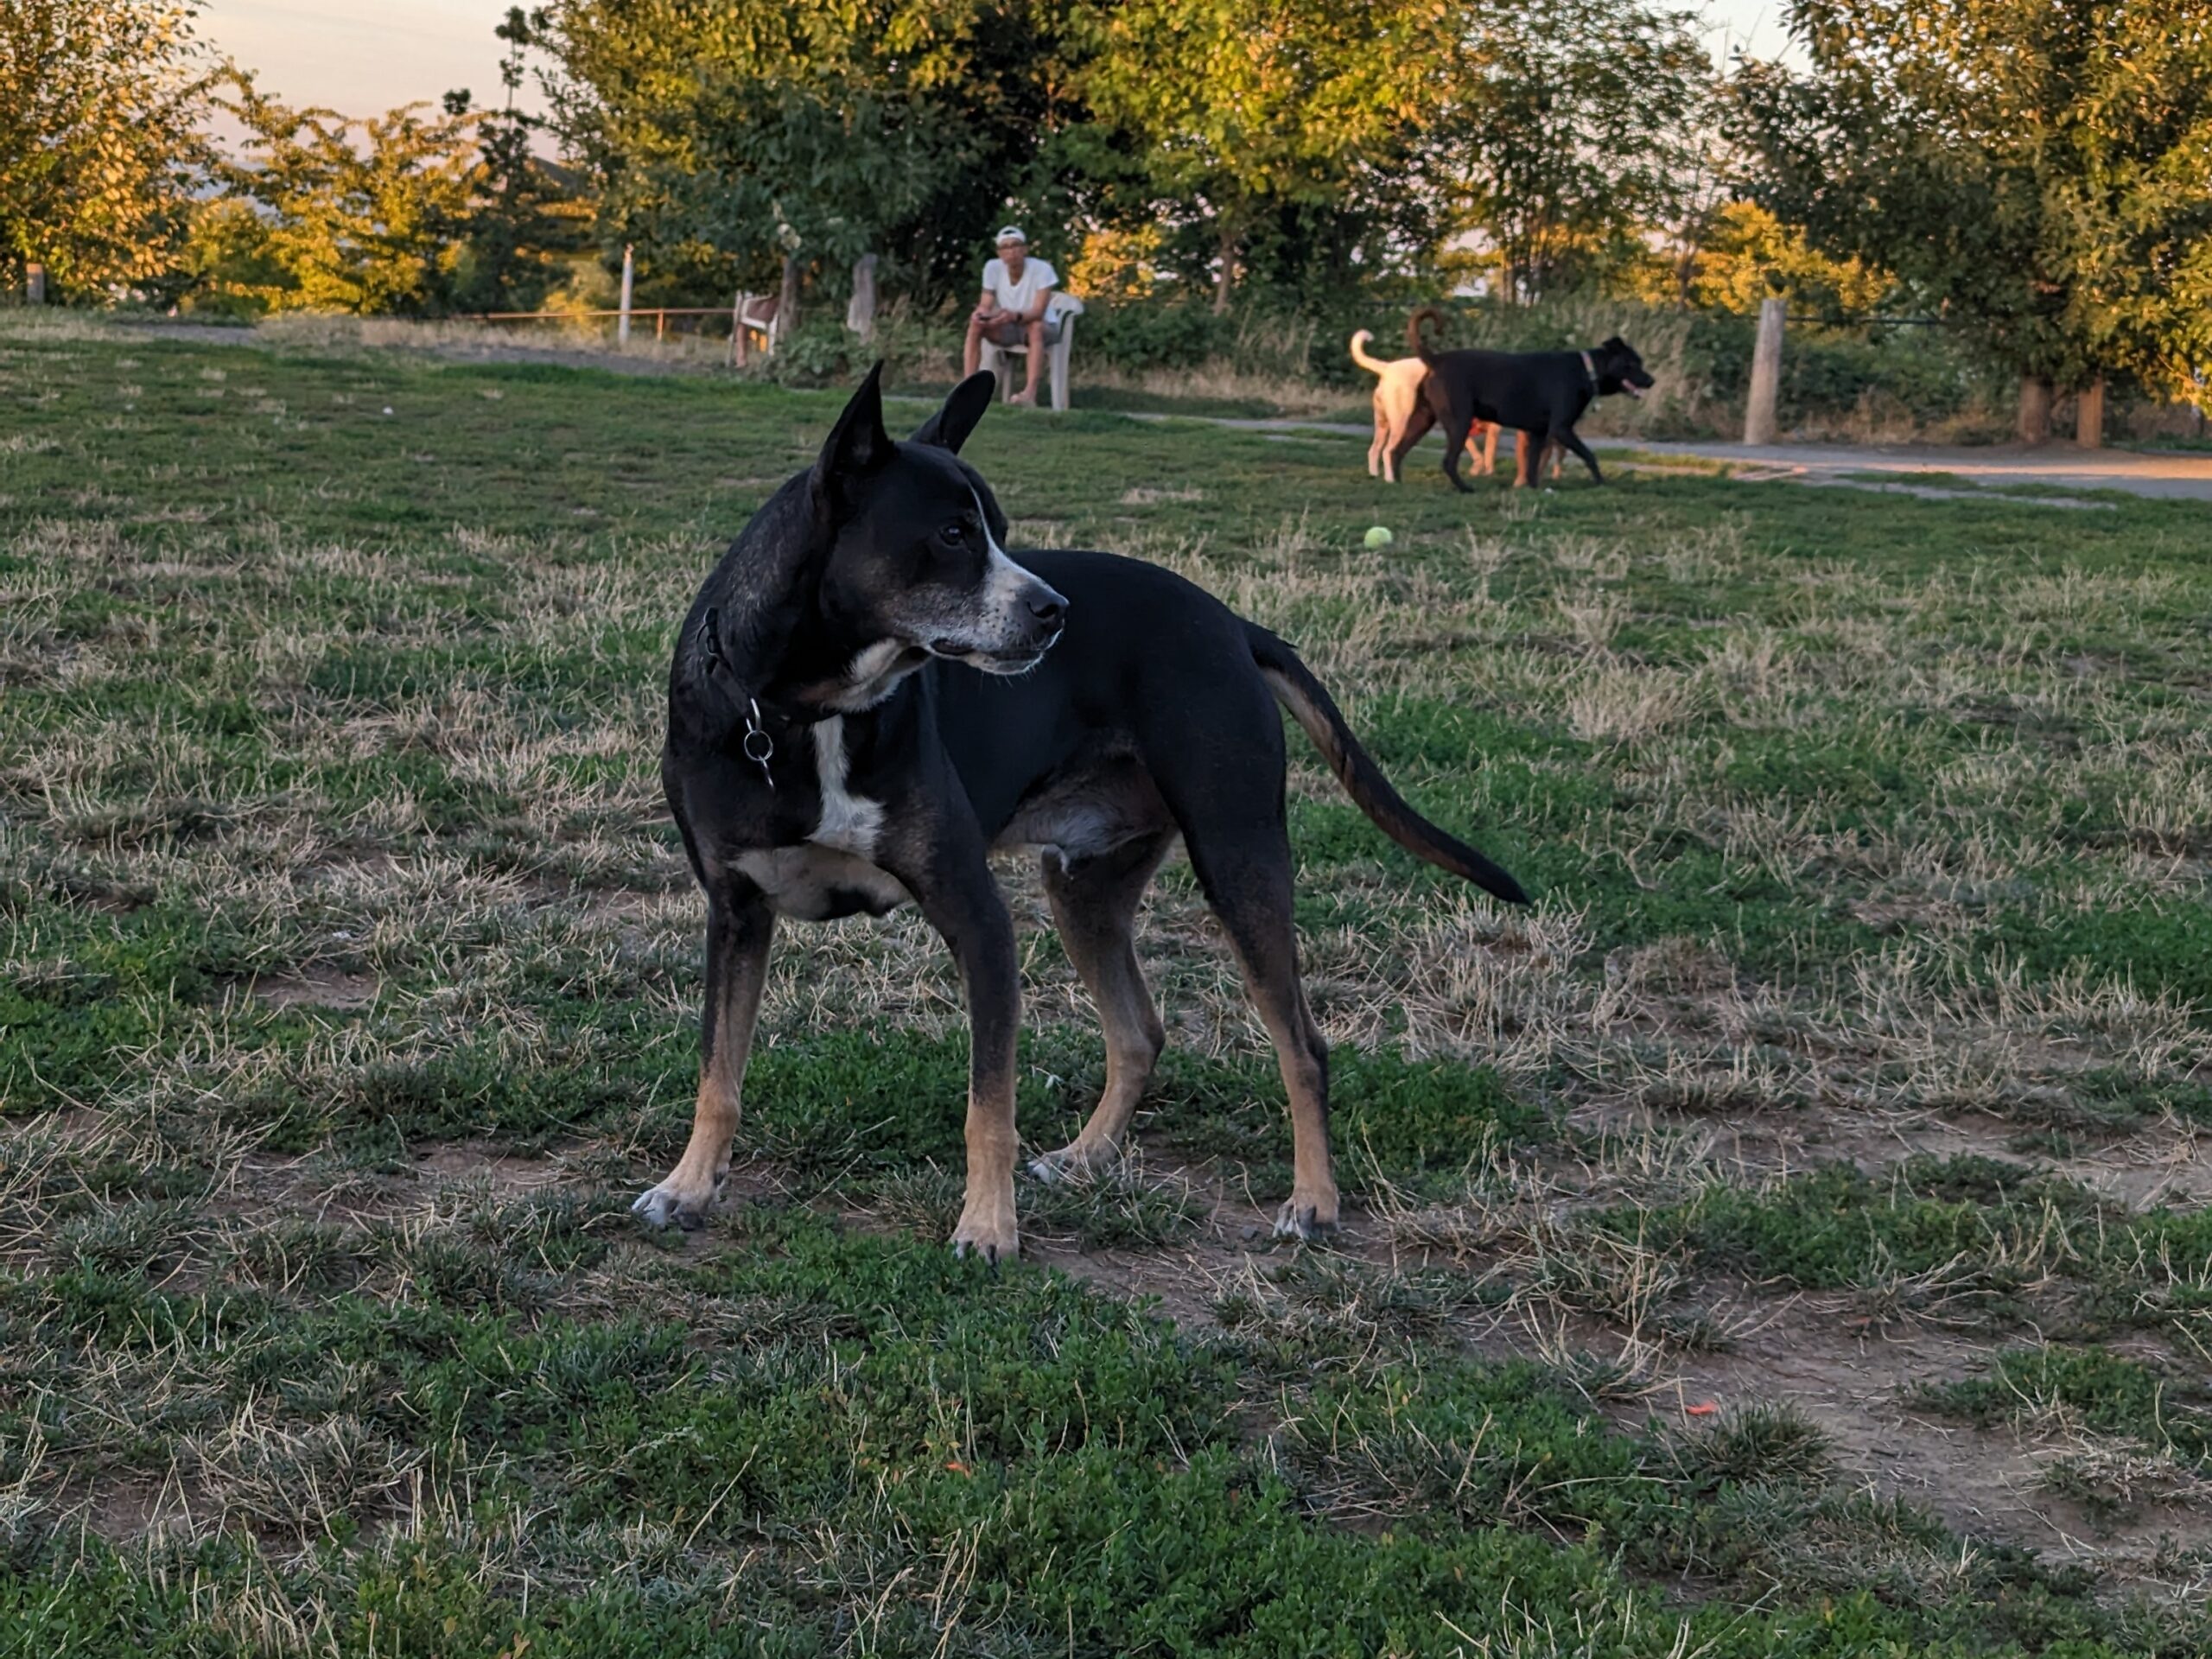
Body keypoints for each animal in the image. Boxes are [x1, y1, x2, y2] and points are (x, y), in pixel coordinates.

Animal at [641, 369, 1530, 1265]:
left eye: (1001, 532)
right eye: (954, 534)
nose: (1054, 611)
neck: (802, 711)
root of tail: (1232, 623)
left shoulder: (977, 919)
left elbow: (988, 1107)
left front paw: (987, 1227)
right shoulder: (736, 913)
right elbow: (718, 1072)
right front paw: (688, 1187)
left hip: (1238, 854)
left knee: (1301, 1045)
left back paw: (1313, 1200)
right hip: (1085, 891)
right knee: (1140, 1034)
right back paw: (1084, 1157)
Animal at [1407, 307, 1654, 491]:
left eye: (1640, 362)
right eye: (1631, 364)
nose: (1652, 380)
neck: (1586, 370)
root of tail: (1436, 360)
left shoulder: (1538, 433)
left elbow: (1533, 465)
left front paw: (1532, 488)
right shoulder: (1561, 429)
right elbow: (1589, 455)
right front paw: (1601, 483)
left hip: (1425, 419)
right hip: (1460, 423)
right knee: (1449, 462)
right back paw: (1465, 488)